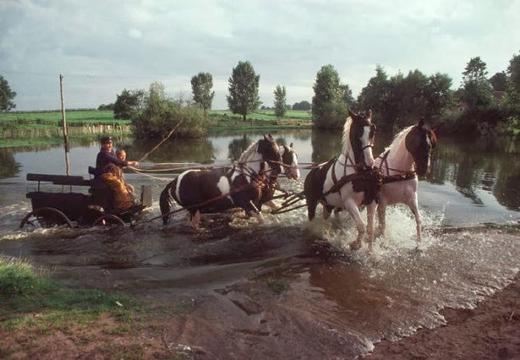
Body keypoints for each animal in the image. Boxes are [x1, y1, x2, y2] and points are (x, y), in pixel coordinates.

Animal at [304, 109, 378, 250]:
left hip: (329, 205)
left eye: (373, 130)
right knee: (311, 220)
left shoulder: (371, 202)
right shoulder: (349, 202)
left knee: (327, 217)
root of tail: (312, 172)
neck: (358, 173)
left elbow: (370, 229)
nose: (369, 164)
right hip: (311, 203)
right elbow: (361, 226)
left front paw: (370, 252)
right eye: (357, 132)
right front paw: (355, 244)